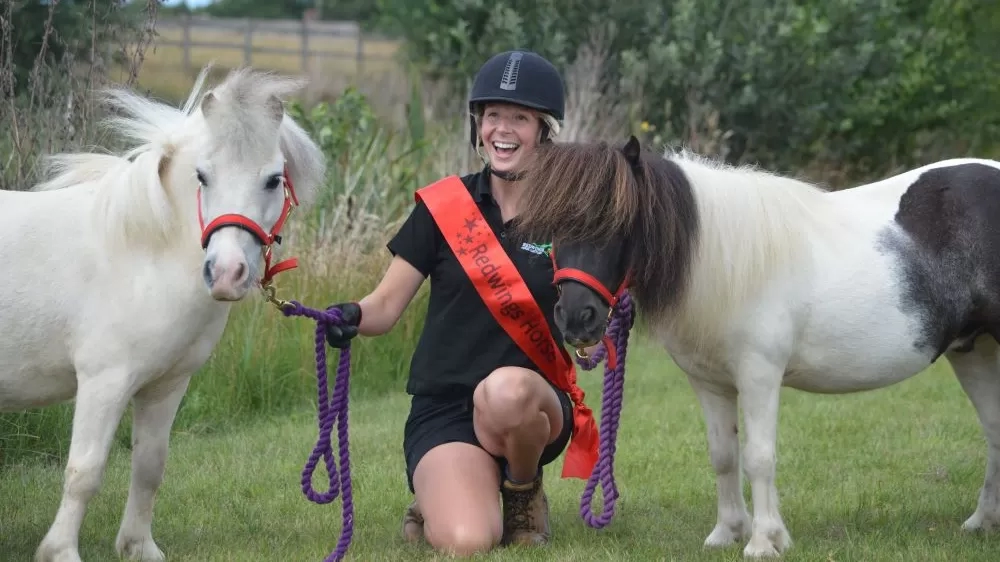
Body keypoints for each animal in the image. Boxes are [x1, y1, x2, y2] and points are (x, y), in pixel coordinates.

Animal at [0, 65, 326, 562]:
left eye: (273, 179)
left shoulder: (166, 385)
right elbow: (84, 471)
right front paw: (60, 551)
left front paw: (138, 546)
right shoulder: (103, 382)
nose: (226, 273)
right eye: (202, 176)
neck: (141, 251)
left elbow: (150, 466)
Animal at [510, 134, 1000, 557]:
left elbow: (759, 457)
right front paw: (727, 533)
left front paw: (764, 541)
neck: (720, 259)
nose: (577, 318)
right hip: (974, 353)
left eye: (618, 221)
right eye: (554, 228)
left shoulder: (759, 376)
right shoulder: (709, 383)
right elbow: (724, 456)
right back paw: (982, 522)